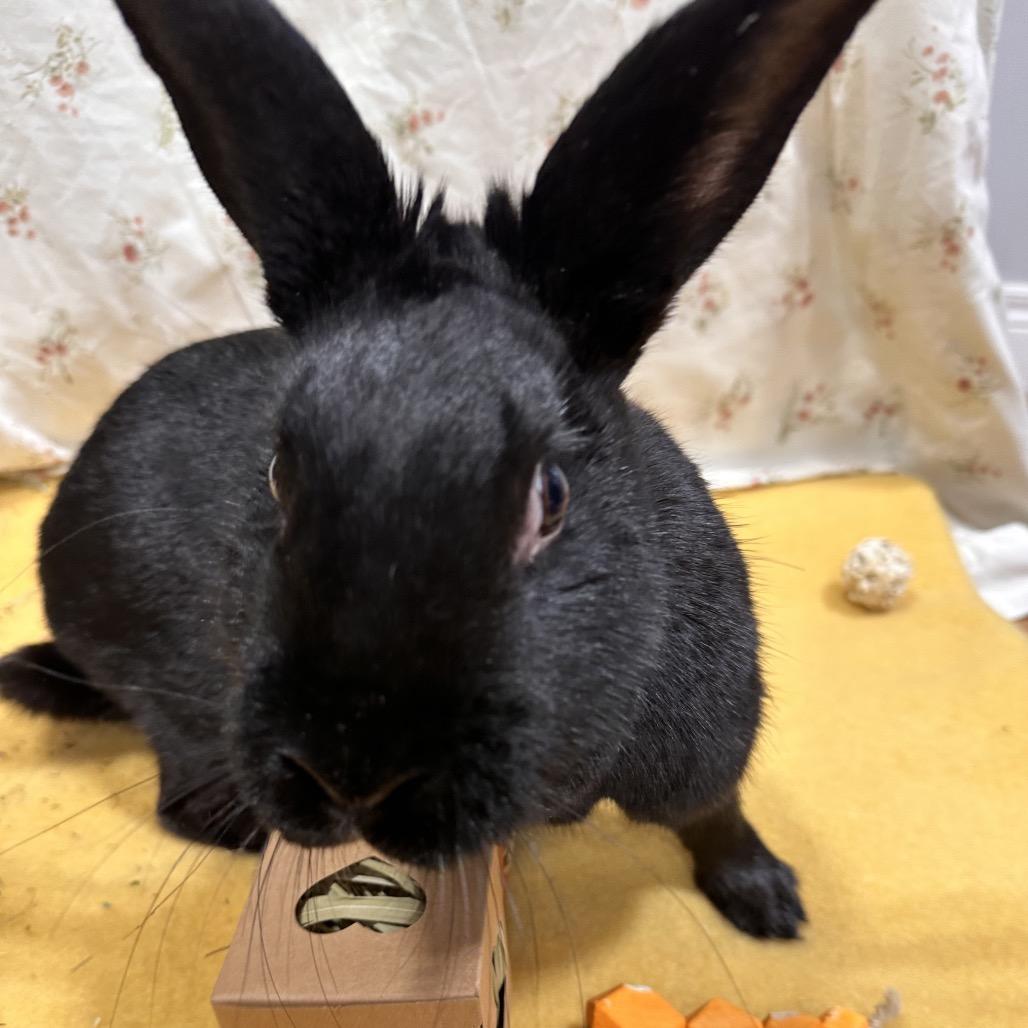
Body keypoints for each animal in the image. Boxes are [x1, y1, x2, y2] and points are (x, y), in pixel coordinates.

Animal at [0, 0, 876, 940]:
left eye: (551, 498)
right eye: (277, 476)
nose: (352, 776)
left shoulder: (708, 744)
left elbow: (718, 815)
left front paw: (772, 904)